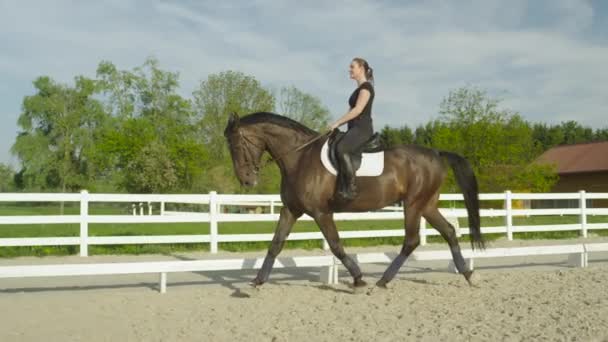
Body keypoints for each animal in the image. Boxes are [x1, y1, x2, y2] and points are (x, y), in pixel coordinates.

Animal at [223, 112, 484, 288]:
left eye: (236, 144)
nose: (246, 180)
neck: (300, 158)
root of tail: (436, 153)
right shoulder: (290, 209)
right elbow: (276, 244)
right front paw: (257, 282)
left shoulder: (320, 212)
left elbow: (336, 245)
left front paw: (358, 278)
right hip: (426, 205)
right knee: (449, 231)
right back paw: (468, 275)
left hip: (413, 205)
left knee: (412, 240)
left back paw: (383, 280)